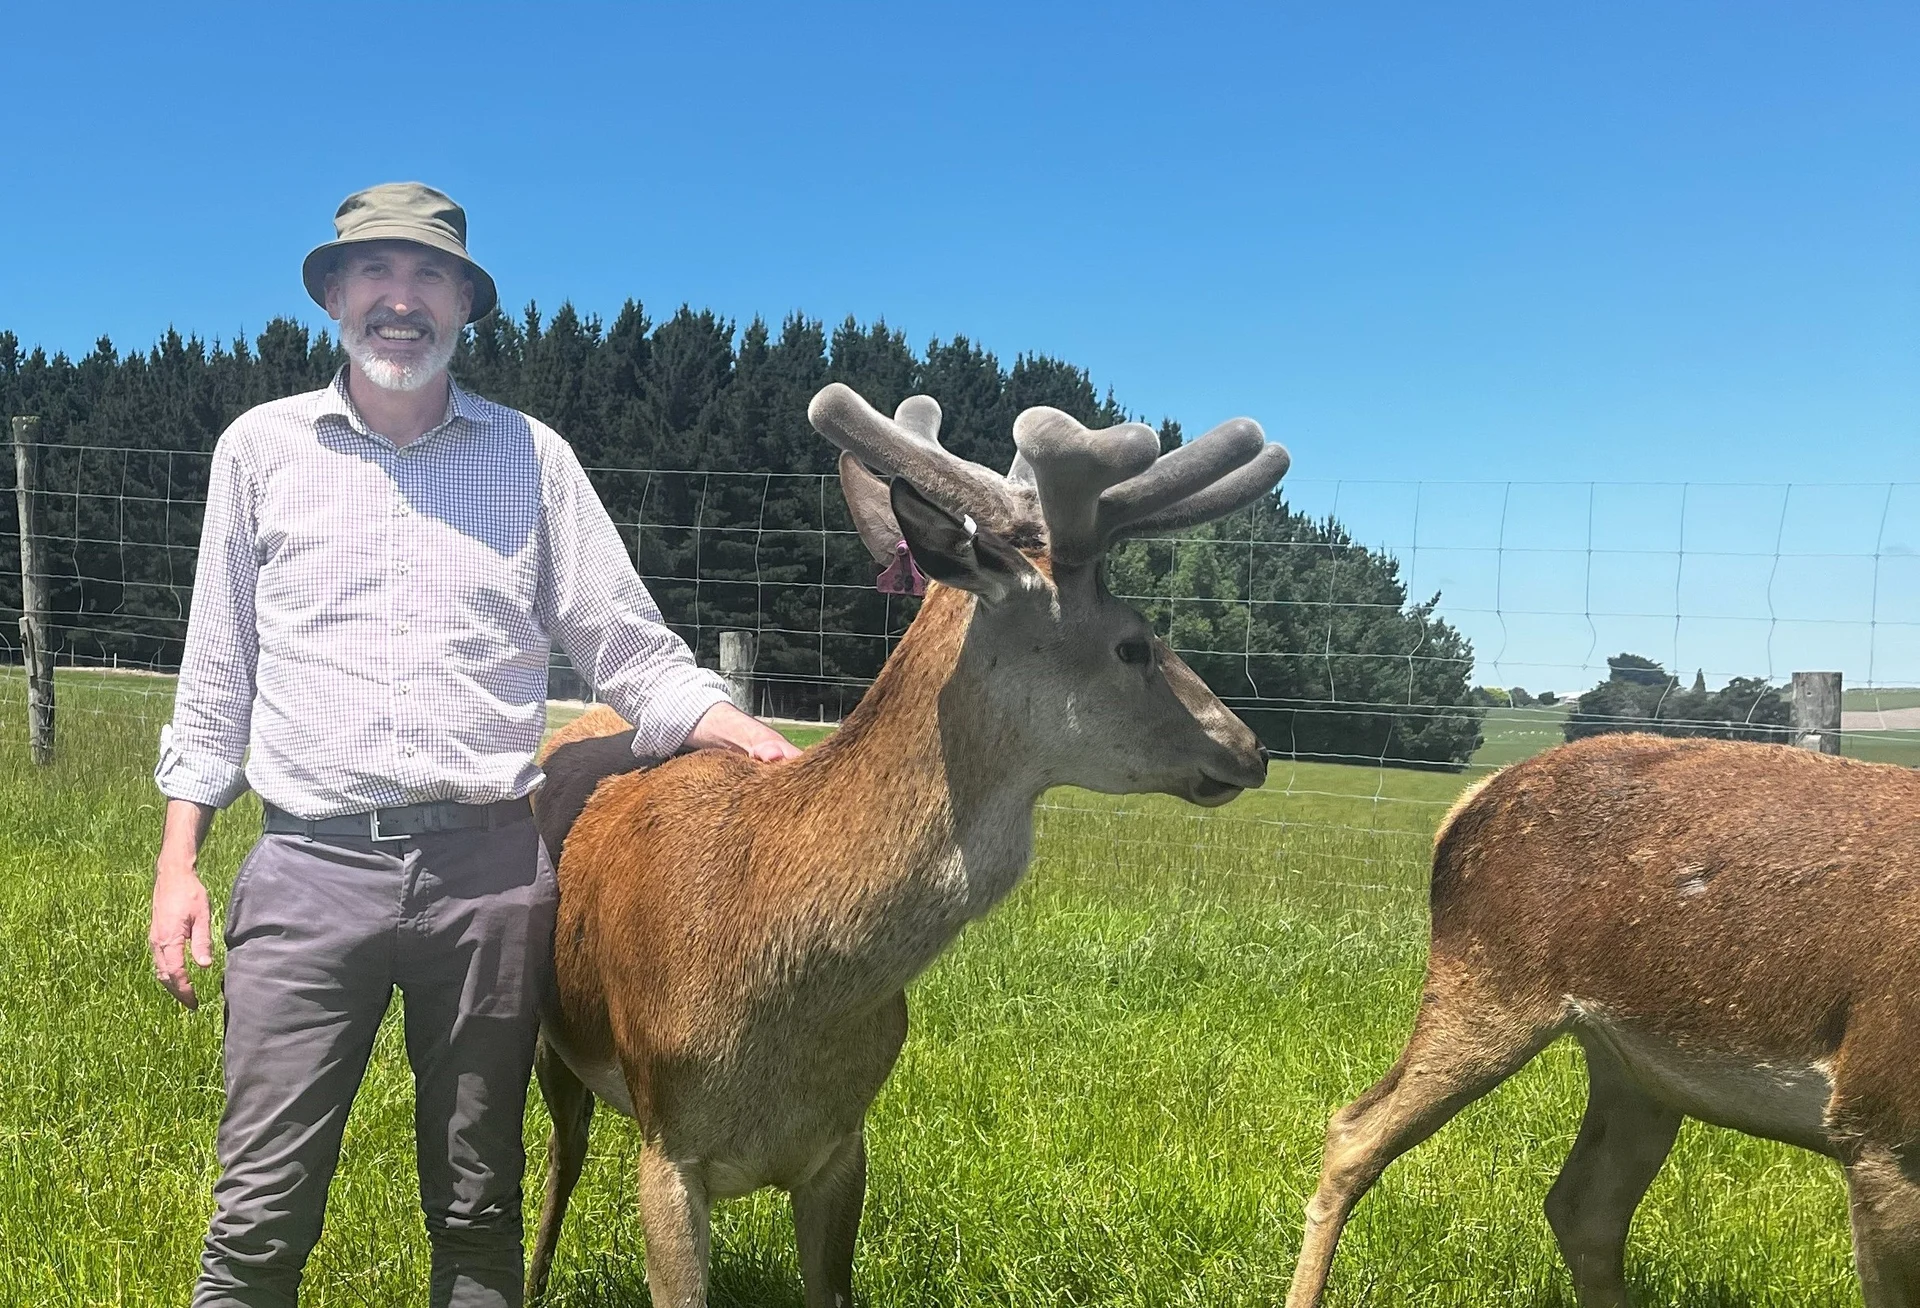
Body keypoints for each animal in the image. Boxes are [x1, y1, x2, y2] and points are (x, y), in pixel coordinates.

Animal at [523, 381, 1291, 1306]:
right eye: (1134, 642)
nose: (1251, 747)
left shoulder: (844, 1146)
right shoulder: (668, 1144)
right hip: (555, 1044)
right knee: (558, 1160)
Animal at [1286, 730, 1920, 1308]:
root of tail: (1466, 803)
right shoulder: (1877, 1123)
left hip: (1636, 1073)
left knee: (1583, 1207)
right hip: (1485, 987)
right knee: (1354, 1131)